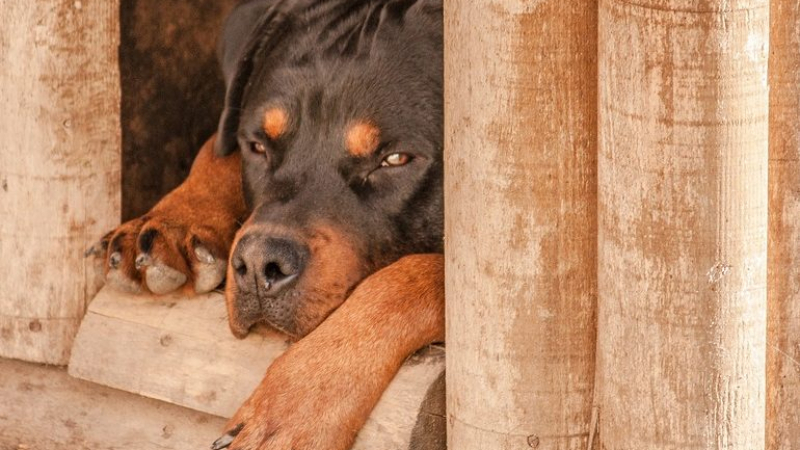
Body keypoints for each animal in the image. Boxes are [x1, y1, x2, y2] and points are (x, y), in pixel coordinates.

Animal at [93, 1, 446, 448]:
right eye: (257, 146)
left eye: (395, 159)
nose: (261, 264)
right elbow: (216, 147)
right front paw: (172, 219)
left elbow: (417, 274)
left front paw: (295, 404)